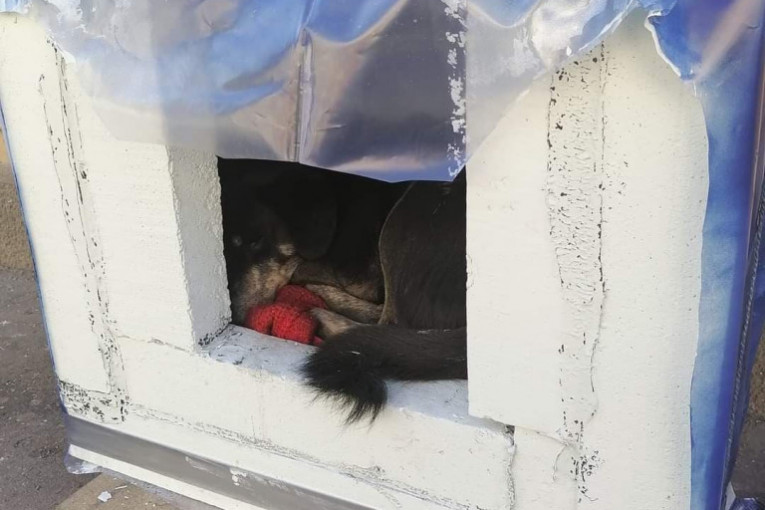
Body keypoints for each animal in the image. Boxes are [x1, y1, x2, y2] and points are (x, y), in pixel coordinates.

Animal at [219, 158, 466, 422]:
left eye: (256, 242)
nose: (233, 314)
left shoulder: (362, 277)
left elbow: (300, 267)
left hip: (410, 212)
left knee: (390, 322)